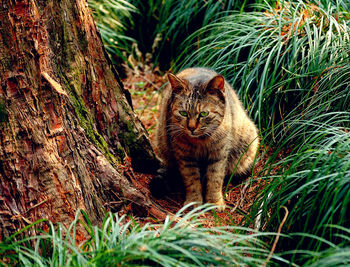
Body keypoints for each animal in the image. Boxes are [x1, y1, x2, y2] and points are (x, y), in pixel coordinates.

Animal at [152, 68, 258, 211]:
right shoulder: (185, 157)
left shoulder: (219, 155)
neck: (200, 142)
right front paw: (193, 202)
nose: (191, 127)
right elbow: (192, 181)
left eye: (203, 114)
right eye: (183, 113)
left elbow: (215, 179)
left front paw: (214, 202)